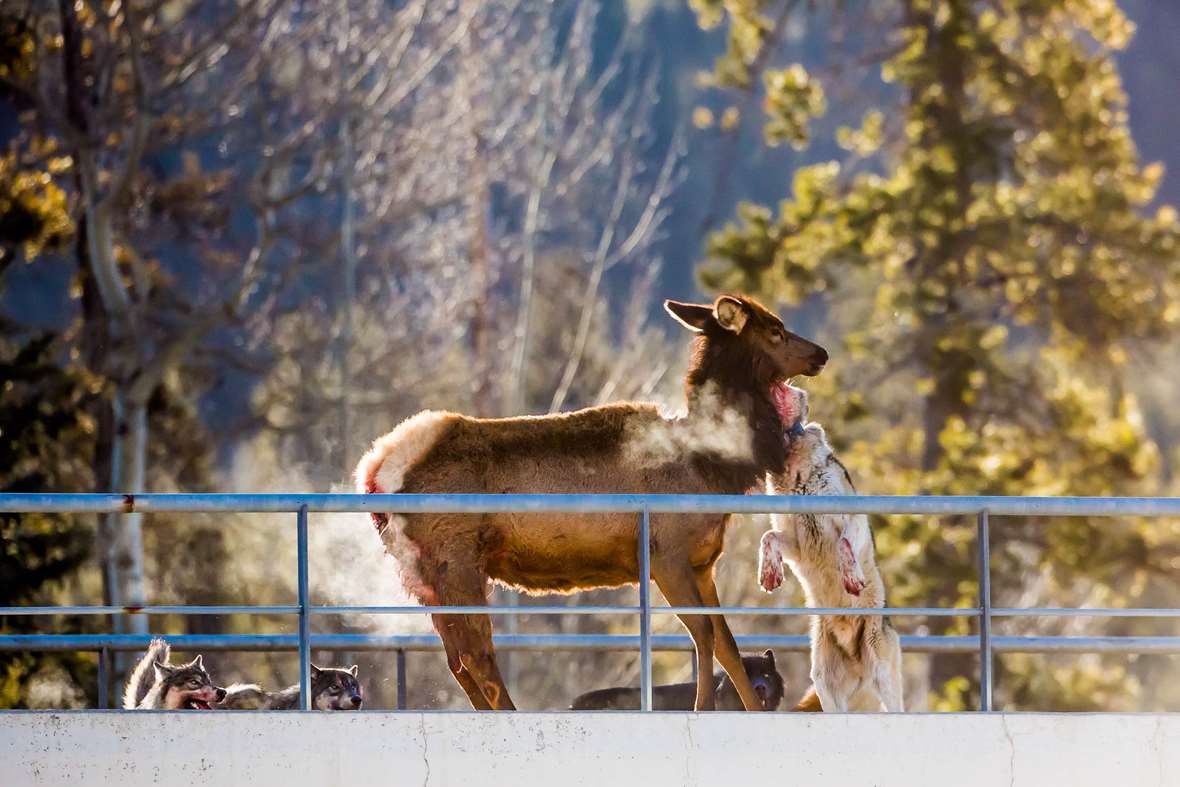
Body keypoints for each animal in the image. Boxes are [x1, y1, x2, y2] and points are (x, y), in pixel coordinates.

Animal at [755, 387, 901, 712]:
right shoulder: (793, 542)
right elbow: (768, 537)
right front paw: (770, 575)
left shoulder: (851, 518)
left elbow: (845, 542)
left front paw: (852, 579)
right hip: (823, 681)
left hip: (882, 675)